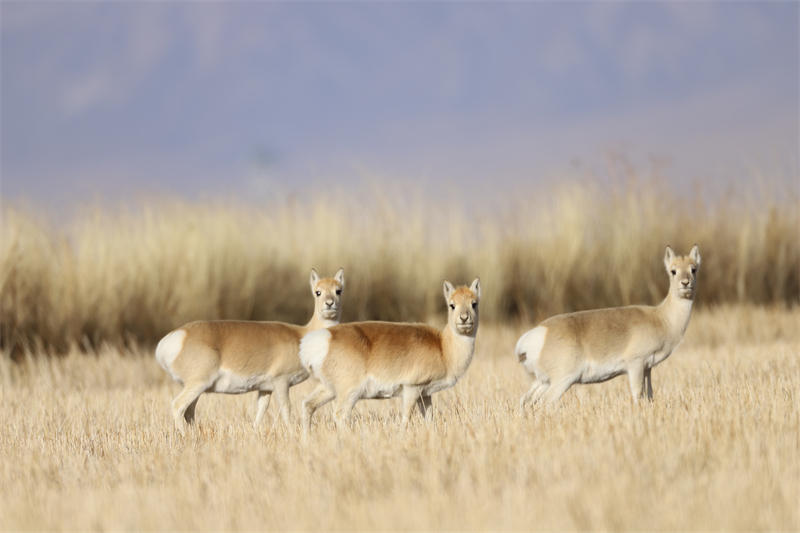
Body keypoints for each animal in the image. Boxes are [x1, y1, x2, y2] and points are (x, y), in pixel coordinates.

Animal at [155, 268, 344, 432]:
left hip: (198, 388)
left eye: (338, 290)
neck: (301, 334)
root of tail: (172, 338)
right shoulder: (282, 382)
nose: (329, 304)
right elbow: (286, 409)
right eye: (318, 292)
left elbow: (261, 409)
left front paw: (255, 431)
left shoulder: (265, 388)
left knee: (189, 411)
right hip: (198, 384)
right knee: (178, 406)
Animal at [299, 278, 480, 433]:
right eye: (452, 305)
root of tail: (323, 337)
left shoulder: (425, 394)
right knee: (341, 415)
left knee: (308, 404)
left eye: (474, 303)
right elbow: (406, 418)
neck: (442, 345)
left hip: (328, 389)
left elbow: (430, 419)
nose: (464, 318)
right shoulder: (412, 389)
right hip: (350, 392)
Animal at [517, 245, 700, 410]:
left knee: (524, 400)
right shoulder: (636, 364)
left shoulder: (648, 368)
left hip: (542, 382)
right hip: (562, 380)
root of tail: (534, 335)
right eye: (673, 271)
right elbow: (637, 395)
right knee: (545, 403)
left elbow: (649, 394)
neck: (660, 318)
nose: (685, 283)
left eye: (693, 269)